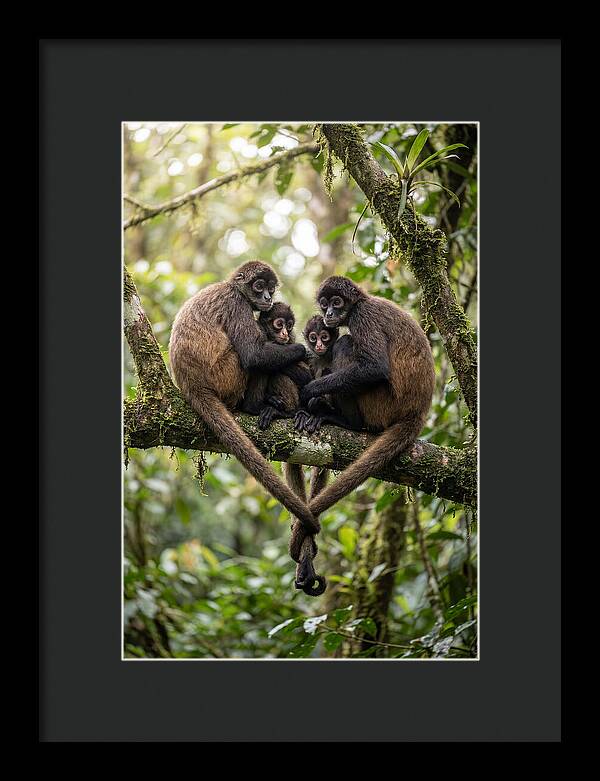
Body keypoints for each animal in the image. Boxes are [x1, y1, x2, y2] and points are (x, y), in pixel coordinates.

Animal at [168, 261, 319, 536]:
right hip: (226, 375)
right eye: (259, 286)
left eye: (271, 288)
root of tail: (191, 385)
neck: (231, 287)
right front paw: (302, 350)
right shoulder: (236, 303)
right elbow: (253, 355)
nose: (268, 297)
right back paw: (255, 406)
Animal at [298, 276, 435, 519]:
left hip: (381, 404)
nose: (329, 314)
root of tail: (417, 413)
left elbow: (375, 368)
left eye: (337, 302)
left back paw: (346, 421)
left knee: (345, 343)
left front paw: (310, 391)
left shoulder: (363, 316)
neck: (362, 302)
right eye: (324, 304)